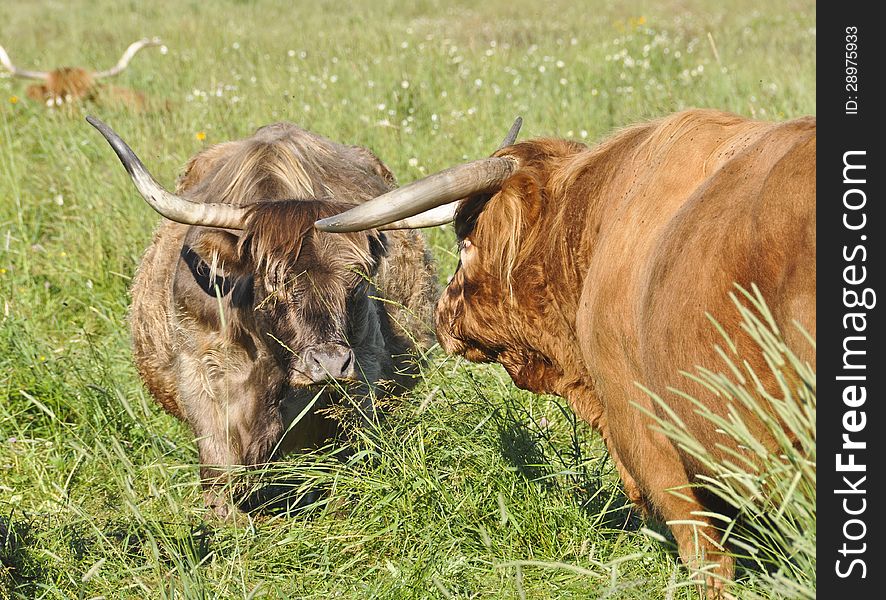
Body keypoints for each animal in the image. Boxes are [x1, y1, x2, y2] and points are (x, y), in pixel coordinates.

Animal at [86, 118, 440, 520]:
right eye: (274, 282)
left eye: (358, 278)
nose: (328, 363)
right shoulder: (202, 374)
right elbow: (219, 468)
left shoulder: (362, 369)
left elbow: (350, 455)